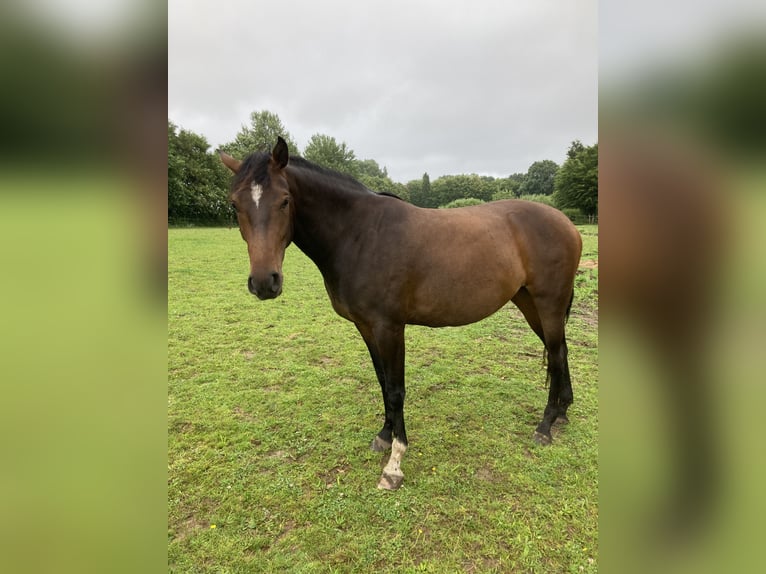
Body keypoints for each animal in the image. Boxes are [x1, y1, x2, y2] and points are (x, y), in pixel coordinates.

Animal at [220, 136, 584, 490]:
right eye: (235, 204)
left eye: (284, 201)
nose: (264, 282)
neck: (359, 235)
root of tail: (567, 222)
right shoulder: (366, 327)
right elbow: (383, 382)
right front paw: (384, 436)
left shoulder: (390, 327)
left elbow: (396, 389)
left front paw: (394, 464)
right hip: (528, 302)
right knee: (560, 351)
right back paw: (562, 412)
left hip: (548, 303)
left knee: (556, 354)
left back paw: (545, 425)